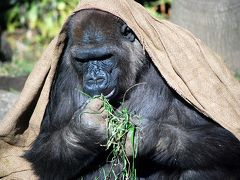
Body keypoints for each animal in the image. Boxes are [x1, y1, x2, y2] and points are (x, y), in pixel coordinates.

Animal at [23, 9, 240, 179]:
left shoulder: (183, 69)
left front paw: (147, 136)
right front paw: (86, 128)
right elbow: (44, 151)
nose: (95, 79)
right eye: (82, 60)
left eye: (105, 57)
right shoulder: (64, 70)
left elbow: (225, 137)